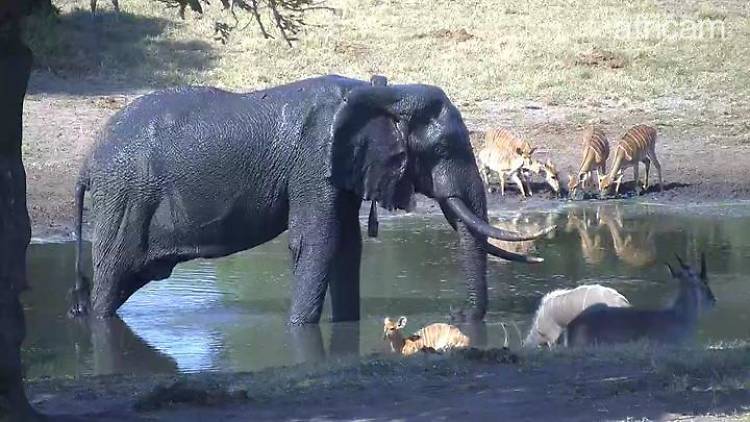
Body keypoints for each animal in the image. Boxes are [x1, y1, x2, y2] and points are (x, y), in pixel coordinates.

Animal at [69, 75, 552, 326]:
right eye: (444, 149)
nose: (456, 314)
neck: (384, 92)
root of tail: (87, 163)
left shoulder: (341, 169)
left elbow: (346, 246)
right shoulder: (315, 161)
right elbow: (317, 242)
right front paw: (300, 329)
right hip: (125, 199)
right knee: (113, 274)